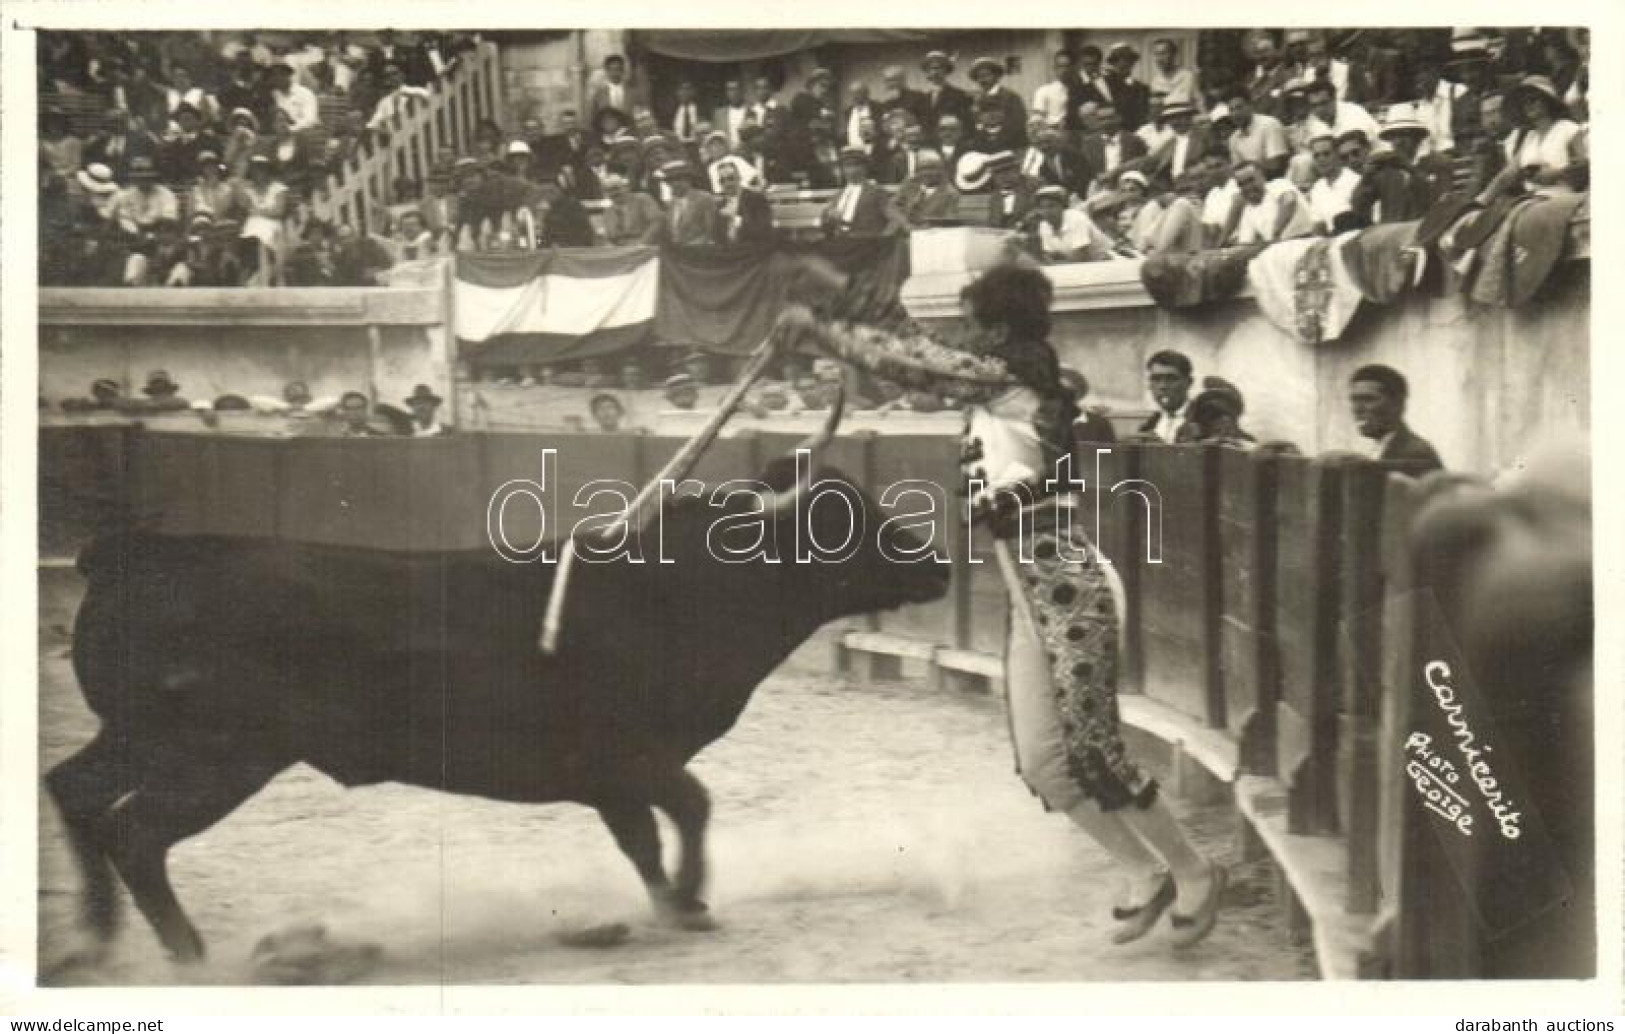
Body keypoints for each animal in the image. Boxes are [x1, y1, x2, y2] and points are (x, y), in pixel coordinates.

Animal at [50, 461, 949, 962]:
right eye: (842, 522)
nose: (940, 564)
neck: (677, 591)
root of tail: (132, 553)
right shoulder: (628, 759)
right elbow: (691, 808)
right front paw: (692, 901)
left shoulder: (613, 781)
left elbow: (643, 839)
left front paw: (670, 901)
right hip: (217, 755)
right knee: (135, 831)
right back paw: (187, 951)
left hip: (140, 739)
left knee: (72, 789)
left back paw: (95, 937)